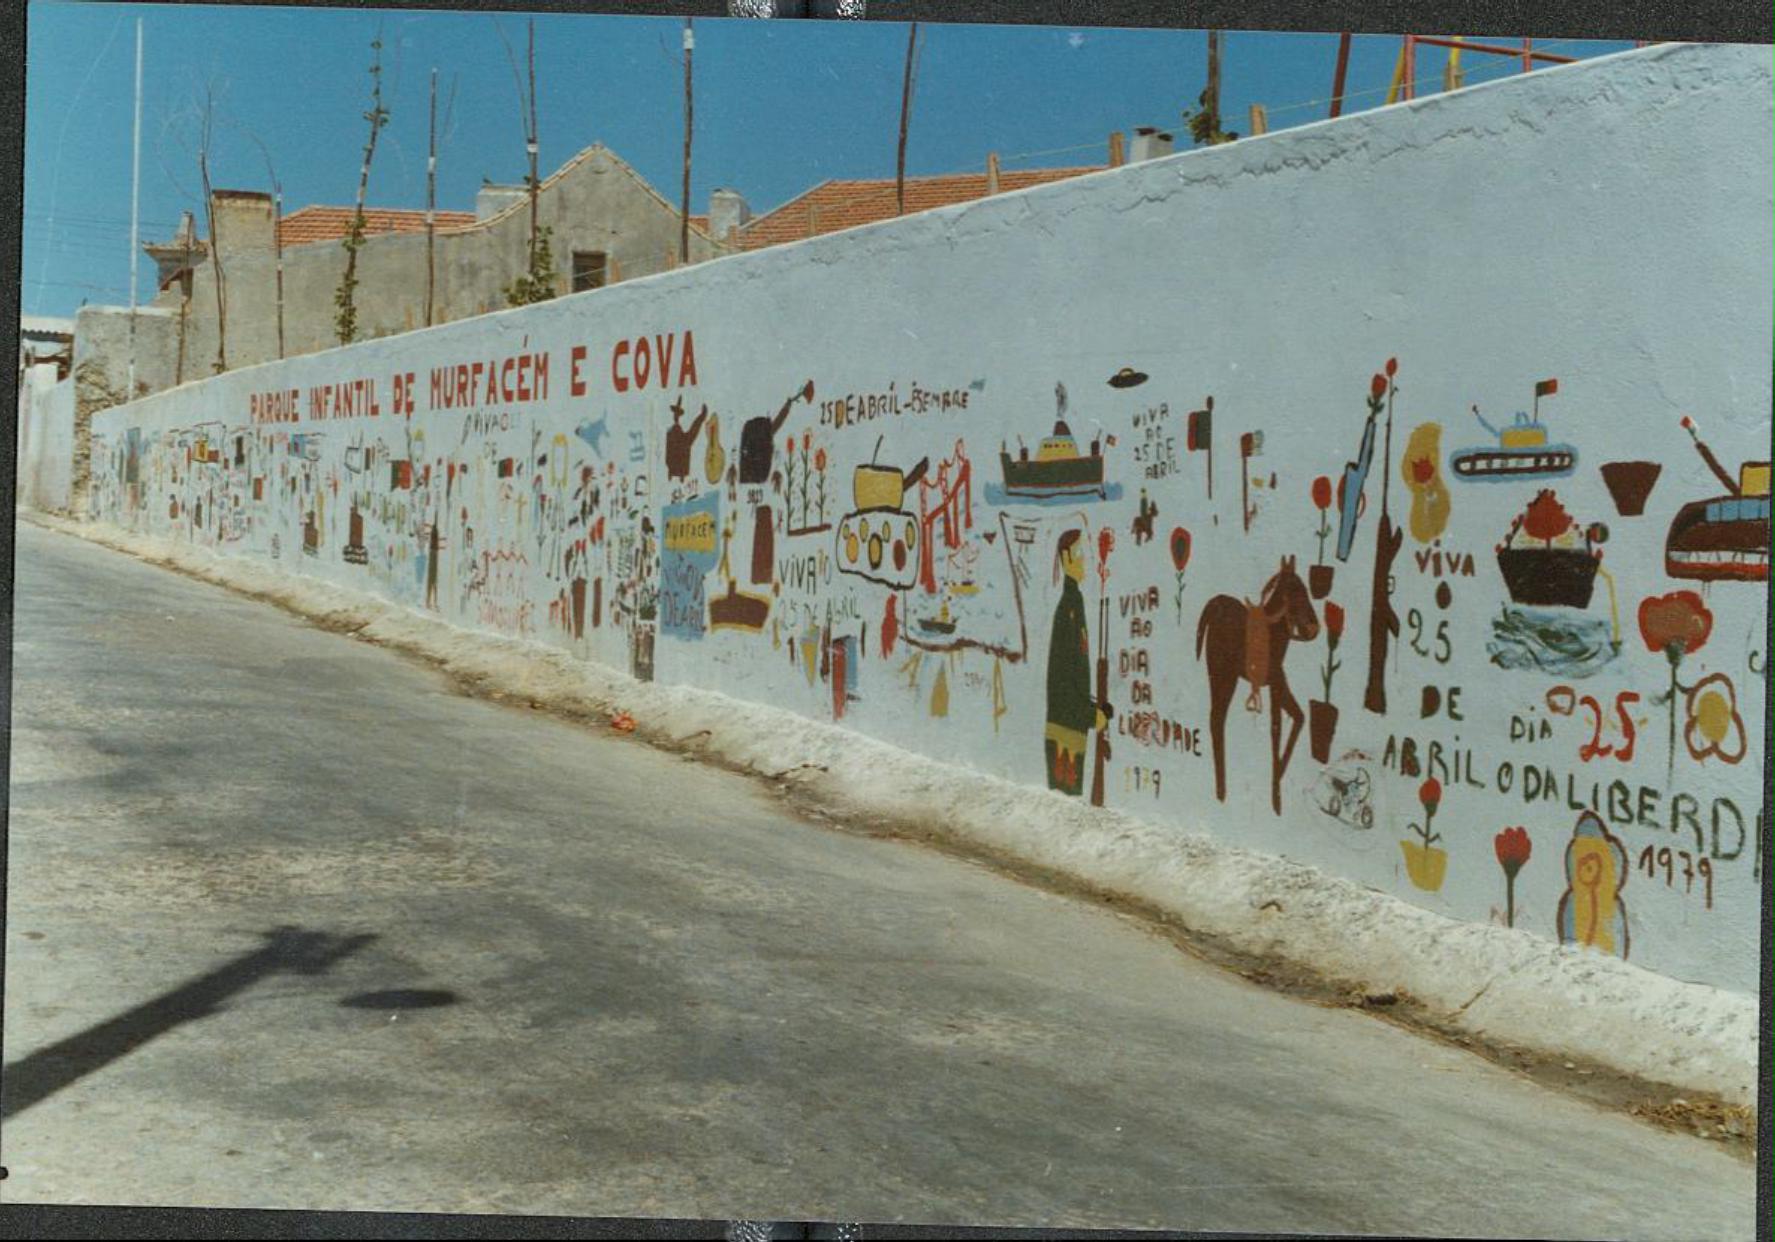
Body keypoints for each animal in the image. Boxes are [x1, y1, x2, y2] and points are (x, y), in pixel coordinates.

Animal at [1192, 557, 1320, 816]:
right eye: (1295, 590)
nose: (1313, 628)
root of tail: (1215, 603)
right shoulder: (1276, 684)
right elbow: (1277, 728)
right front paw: (1276, 796)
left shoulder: (1278, 684)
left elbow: (1296, 719)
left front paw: (1277, 781)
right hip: (1223, 673)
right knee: (1217, 719)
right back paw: (1221, 792)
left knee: (1216, 719)